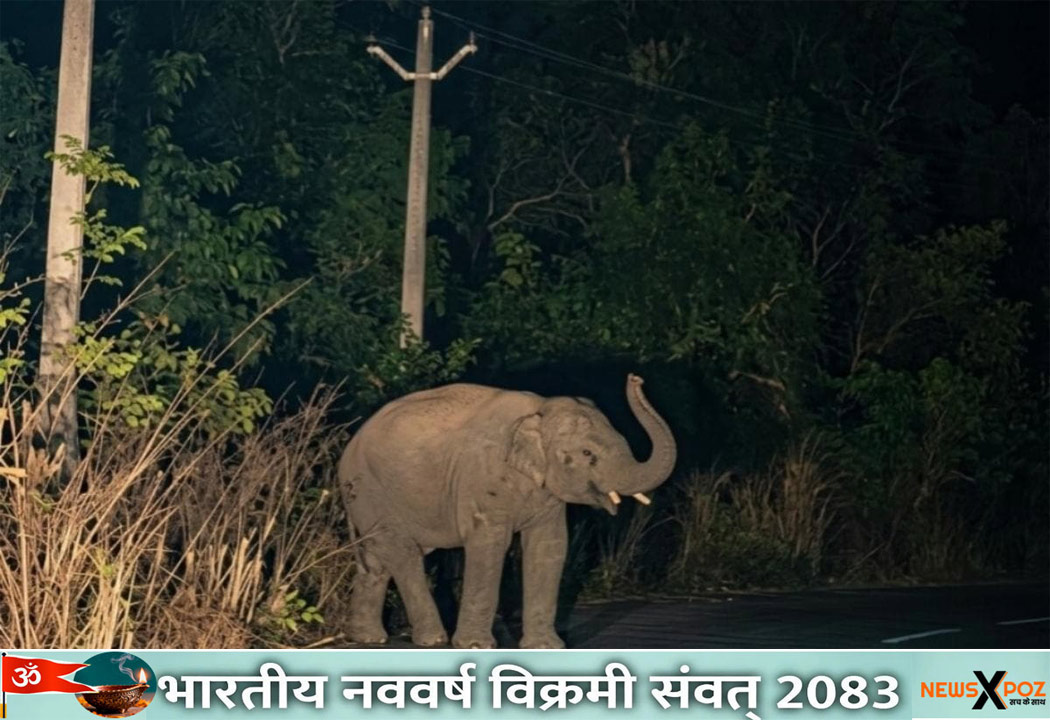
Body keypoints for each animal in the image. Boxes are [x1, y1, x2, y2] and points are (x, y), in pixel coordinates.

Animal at [338, 373, 676, 649]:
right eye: (587, 453)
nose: (636, 378)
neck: (540, 410)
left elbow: (549, 546)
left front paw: (546, 647)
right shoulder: (481, 479)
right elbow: (489, 546)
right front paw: (476, 646)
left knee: (376, 561)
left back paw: (369, 638)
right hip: (372, 494)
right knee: (404, 557)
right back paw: (432, 640)